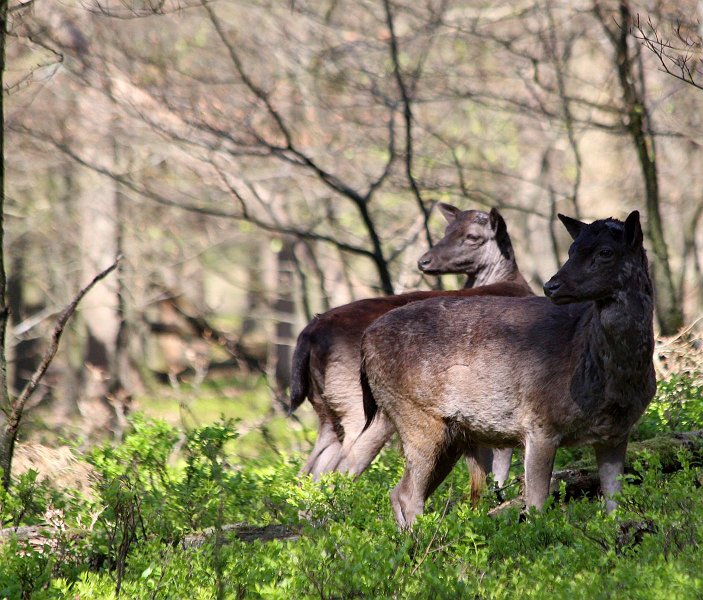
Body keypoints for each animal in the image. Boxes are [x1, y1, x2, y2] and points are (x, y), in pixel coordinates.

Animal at [288, 204, 532, 480]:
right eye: (447, 230)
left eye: (472, 236)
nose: (424, 261)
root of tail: (309, 334)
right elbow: (501, 465)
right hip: (360, 406)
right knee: (342, 467)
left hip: (325, 409)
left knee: (310, 470)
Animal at [360, 211, 656, 524]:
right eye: (572, 249)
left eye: (606, 252)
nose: (552, 285)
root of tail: (365, 343)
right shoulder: (540, 422)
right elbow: (537, 504)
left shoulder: (616, 433)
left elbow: (614, 504)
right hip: (414, 414)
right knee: (407, 494)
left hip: (451, 436)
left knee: (400, 492)